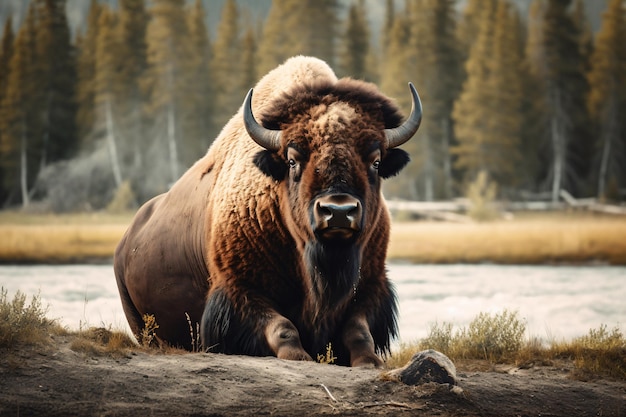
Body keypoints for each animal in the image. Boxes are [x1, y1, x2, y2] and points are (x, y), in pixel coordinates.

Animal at [114, 55, 422, 364]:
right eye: (292, 159)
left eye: (376, 161)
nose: (338, 211)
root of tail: (126, 240)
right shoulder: (239, 289)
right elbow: (282, 327)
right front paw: (298, 356)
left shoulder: (371, 286)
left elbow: (358, 331)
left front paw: (369, 361)